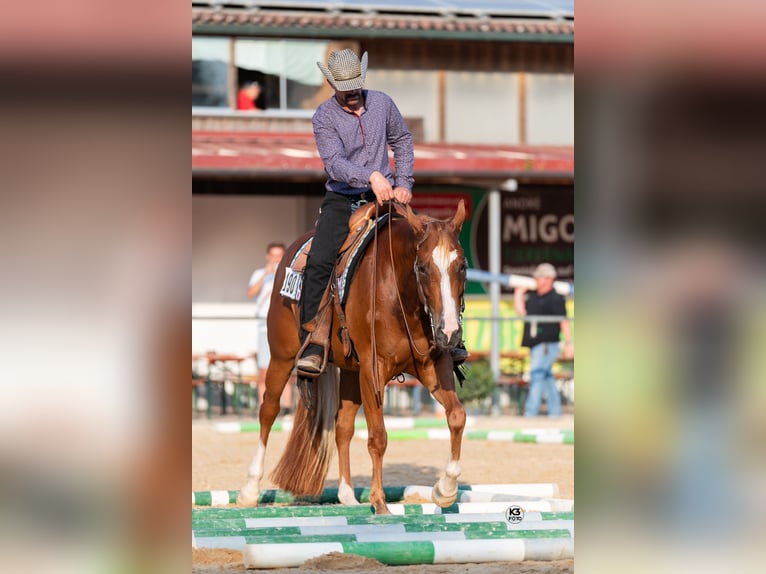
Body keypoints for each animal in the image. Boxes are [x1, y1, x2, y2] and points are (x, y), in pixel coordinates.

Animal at [240, 200, 468, 516]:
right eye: (422, 268)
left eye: (463, 266)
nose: (450, 332)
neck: (398, 295)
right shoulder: (373, 371)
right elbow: (378, 437)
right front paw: (380, 502)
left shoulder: (434, 364)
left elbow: (457, 416)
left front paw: (445, 490)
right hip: (282, 358)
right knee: (268, 411)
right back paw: (250, 490)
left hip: (350, 371)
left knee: (343, 427)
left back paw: (347, 494)